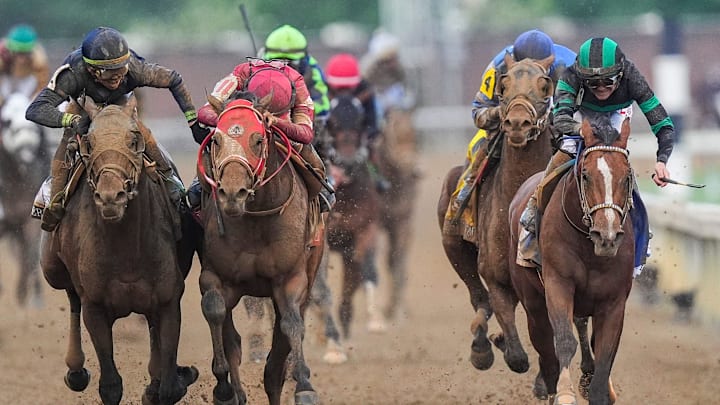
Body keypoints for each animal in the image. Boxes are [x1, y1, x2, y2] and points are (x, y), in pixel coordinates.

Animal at [39, 94, 198, 405]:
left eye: (135, 139)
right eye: (89, 142)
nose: (111, 196)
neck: (127, 252)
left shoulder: (167, 301)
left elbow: (169, 386)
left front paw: (174, 377)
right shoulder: (95, 307)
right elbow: (111, 386)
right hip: (52, 268)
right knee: (72, 296)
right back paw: (76, 370)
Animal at [197, 92, 324, 405]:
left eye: (258, 139)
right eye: (216, 139)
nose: (232, 194)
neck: (255, 219)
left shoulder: (291, 279)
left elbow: (291, 324)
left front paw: (304, 386)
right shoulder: (214, 276)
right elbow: (215, 310)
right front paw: (224, 389)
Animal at [436, 55, 555, 374]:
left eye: (545, 85)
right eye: (503, 84)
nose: (516, 123)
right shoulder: (498, 278)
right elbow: (517, 356)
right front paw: (495, 343)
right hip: (453, 237)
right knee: (479, 297)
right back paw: (482, 345)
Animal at [508, 114, 635, 405]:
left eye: (627, 177)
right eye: (585, 175)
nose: (607, 235)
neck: (592, 252)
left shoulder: (614, 301)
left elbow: (605, 351)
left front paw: (599, 391)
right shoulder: (559, 282)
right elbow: (564, 339)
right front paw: (564, 394)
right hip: (533, 301)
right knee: (546, 344)